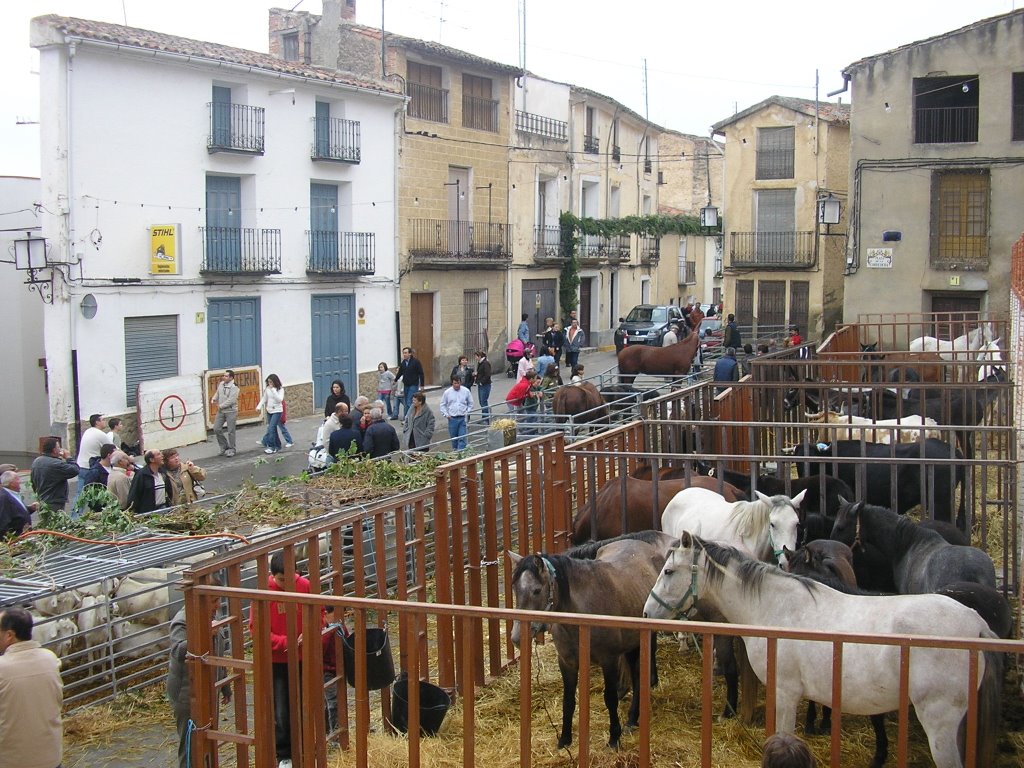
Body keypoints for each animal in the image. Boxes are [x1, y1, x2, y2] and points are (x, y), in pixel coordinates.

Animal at [507, 536, 667, 749]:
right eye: (515, 589)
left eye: (536, 590)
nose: (517, 637)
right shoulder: (567, 662)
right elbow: (568, 701)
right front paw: (564, 739)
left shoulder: (609, 660)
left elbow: (610, 698)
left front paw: (614, 738)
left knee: (638, 676)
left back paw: (632, 719)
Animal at [643, 536, 1003, 768]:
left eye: (669, 572)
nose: (647, 612)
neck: (775, 609)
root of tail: (976, 625)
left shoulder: (786, 693)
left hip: (939, 721)